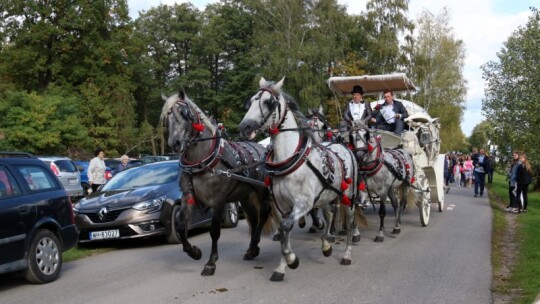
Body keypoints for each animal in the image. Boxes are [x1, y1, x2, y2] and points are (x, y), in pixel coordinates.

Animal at [160, 89, 276, 276]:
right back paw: (252, 249)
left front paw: (211, 262)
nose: (174, 143)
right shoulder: (187, 196)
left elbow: (214, 230)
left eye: (185, 114)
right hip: (245, 195)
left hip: (261, 190)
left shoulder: (219, 200)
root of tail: (262, 149)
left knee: (264, 213)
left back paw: (255, 244)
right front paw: (194, 252)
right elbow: (180, 225)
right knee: (253, 216)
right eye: (167, 118)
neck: (202, 160)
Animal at [237, 77, 368, 282]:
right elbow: (284, 230)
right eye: (250, 101)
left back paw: (347, 252)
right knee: (330, 213)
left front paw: (292, 260)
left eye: (268, 102)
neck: (290, 158)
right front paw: (282, 267)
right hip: (325, 196)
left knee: (350, 219)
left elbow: (287, 225)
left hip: (349, 196)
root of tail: (344, 146)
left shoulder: (304, 203)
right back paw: (326, 244)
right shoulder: (282, 206)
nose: (245, 127)